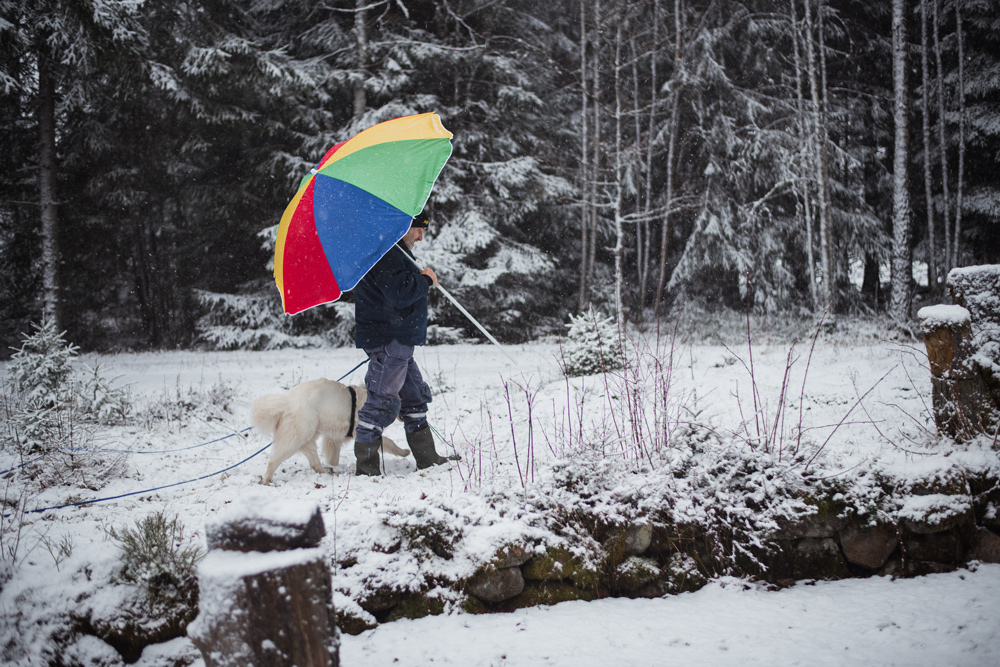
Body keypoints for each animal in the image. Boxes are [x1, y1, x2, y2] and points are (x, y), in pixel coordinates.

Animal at [254, 380, 410, 486]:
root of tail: (286, 400)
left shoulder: (334, 439)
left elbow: (333, 458)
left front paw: (334, 466)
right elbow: (389, 442)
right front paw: (403, 452)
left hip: (308, 439)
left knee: (315, 463)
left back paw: (328, 474)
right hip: (297, 438)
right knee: (273, 460)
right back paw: (267, 481)